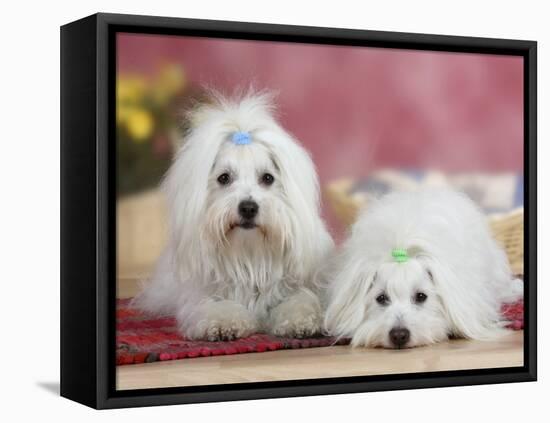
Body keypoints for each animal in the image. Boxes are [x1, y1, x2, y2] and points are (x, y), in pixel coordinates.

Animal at [136, 90, 334, 342]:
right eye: (224, 178)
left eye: (267, 178)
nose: (248, 207)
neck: (249, 256)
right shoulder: (203, 296)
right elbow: (218, 307)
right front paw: (224, 324)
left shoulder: (296, 286)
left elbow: (300, 301)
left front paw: (301, 322)